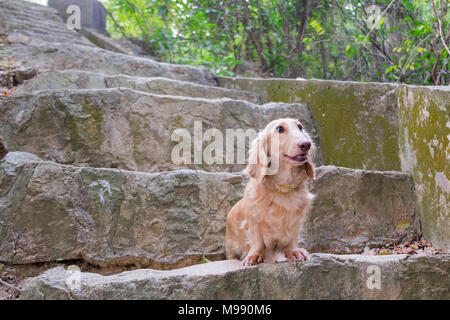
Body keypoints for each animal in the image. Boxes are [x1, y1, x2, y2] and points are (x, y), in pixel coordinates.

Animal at [225, 119, 316, 266]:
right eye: (279, 129)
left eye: (300, 126)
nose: (306, 144)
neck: (283, 186)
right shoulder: (253, 220)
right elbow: (256, 240)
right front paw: (254, 255)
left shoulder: (297, 221)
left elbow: (292, 238)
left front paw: (294, 251)